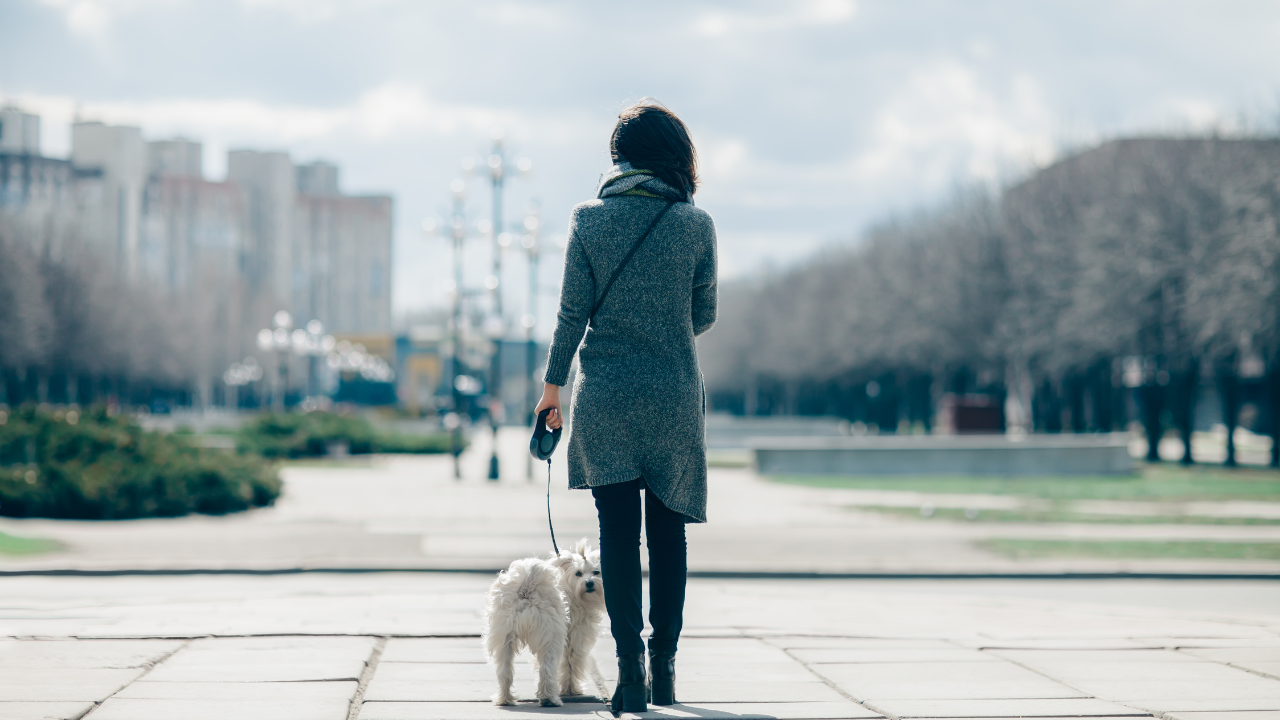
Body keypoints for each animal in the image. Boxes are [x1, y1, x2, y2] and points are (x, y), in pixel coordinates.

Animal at [488, 535, 609, 702]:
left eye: (597, 572)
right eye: (578, 573)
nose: (589, 583)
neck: (572, 590)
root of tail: (527, 588)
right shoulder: (576, 637)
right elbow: (570, 664)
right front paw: (570, 690)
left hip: (504, 637)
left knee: (504, 670)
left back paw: (505, 699)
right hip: (551, 638)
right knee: (546, 668)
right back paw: (549, 699)